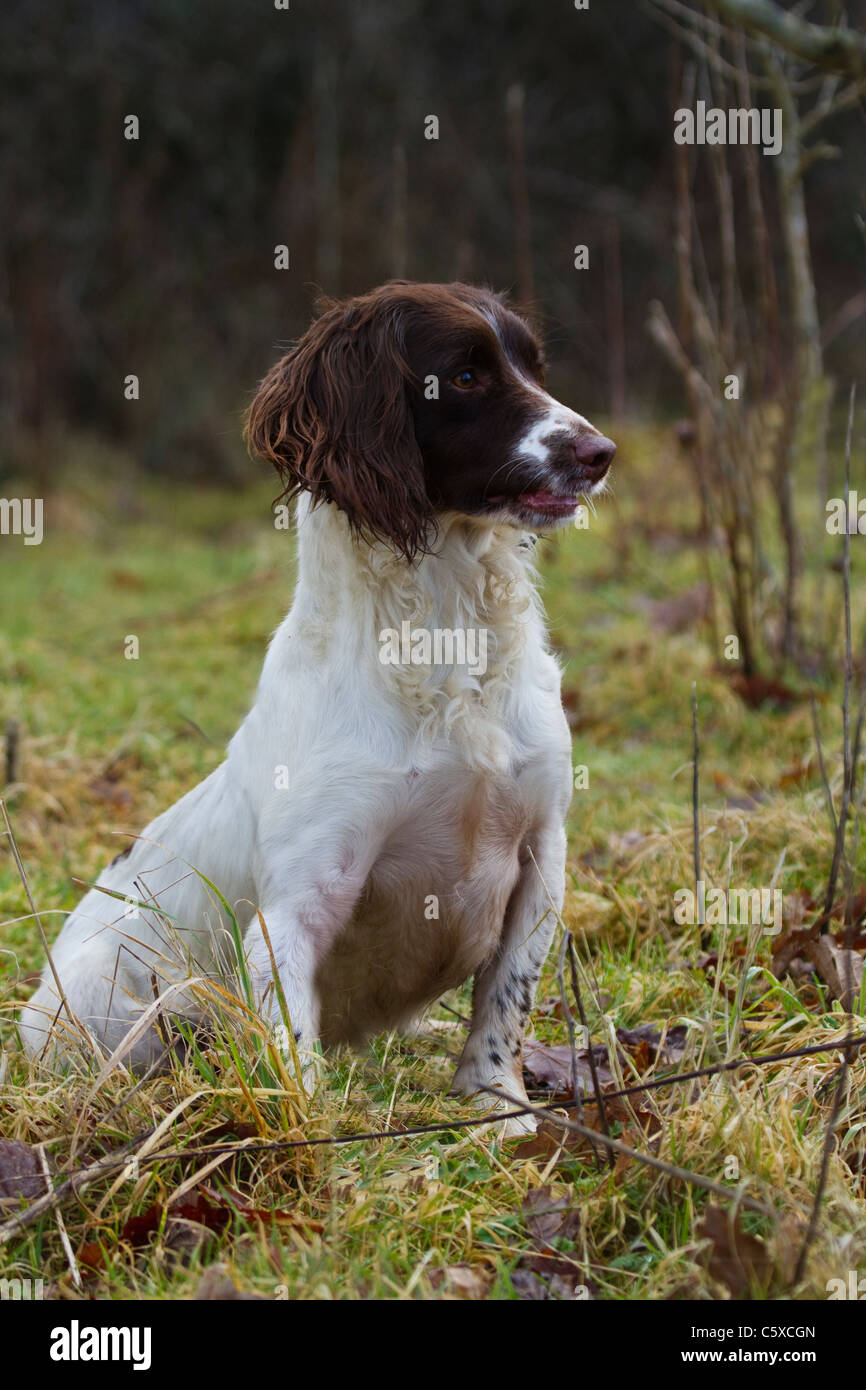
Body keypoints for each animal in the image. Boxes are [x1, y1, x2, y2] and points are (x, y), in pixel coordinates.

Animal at [20, 279, 617, 1128]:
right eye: (465, 377)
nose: (600, 453)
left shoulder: (542, 852)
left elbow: (505, 999)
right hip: (105, 1001)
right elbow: (292, 1043)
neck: (443, 646)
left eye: (535, 367)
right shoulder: (298, 903)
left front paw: (496, 1104)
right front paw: (311, 1132)